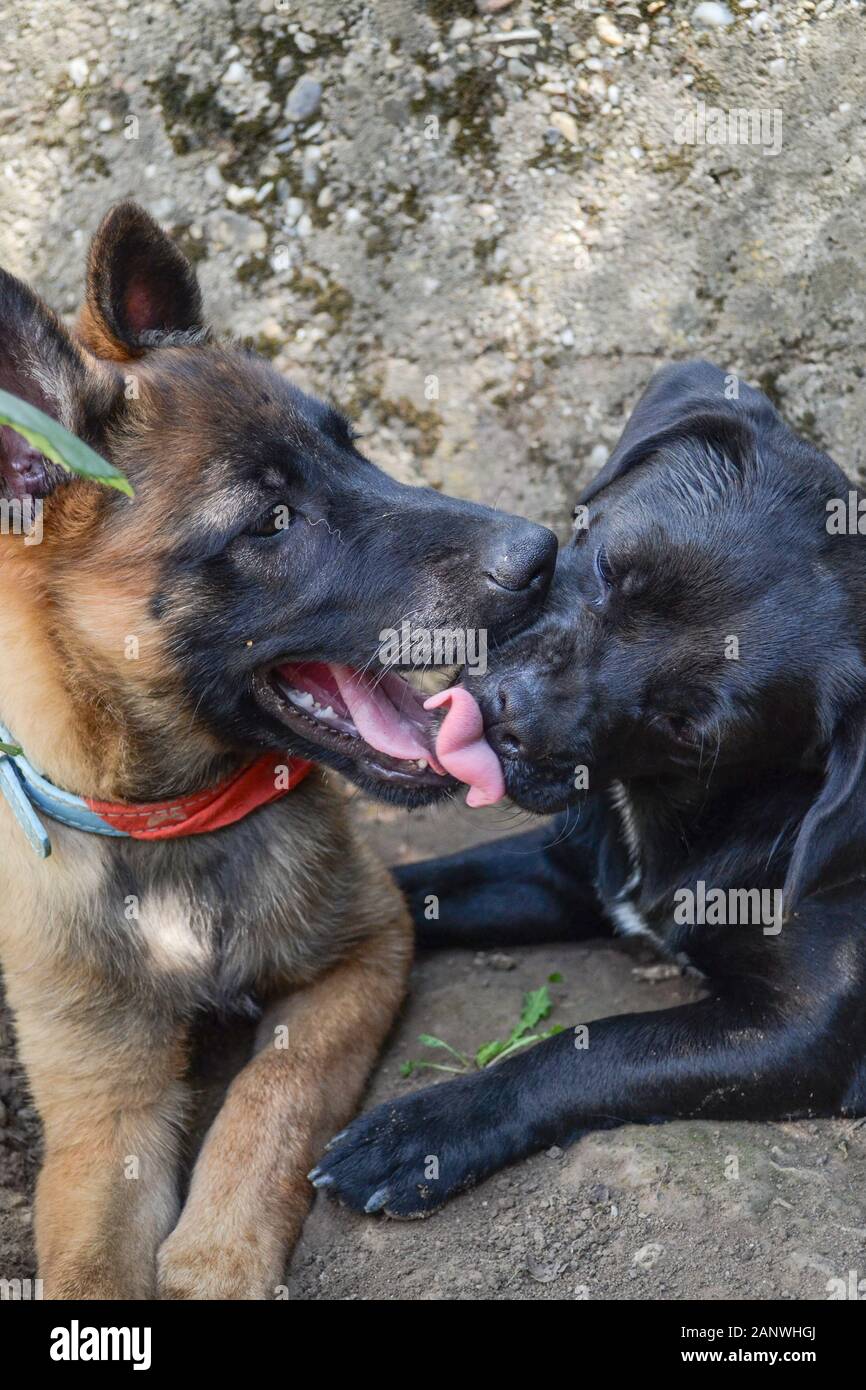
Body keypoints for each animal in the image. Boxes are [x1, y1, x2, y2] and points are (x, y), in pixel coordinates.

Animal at [0, 201, 556, 1295]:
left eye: (351, 447)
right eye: (272, 520)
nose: (545, 554)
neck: (175, 823)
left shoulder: (367, 946)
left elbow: (276, 1090)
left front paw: (218, 1252)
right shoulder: (99, 1112)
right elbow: (89, 1259)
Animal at [315, 361, 866, 1217]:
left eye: (686, 725)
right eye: (609, 568)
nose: (510, 718)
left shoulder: (802, 1027)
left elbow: (592, 1050)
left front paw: (426, 1130)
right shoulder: (564, 865)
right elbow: (415, 889)